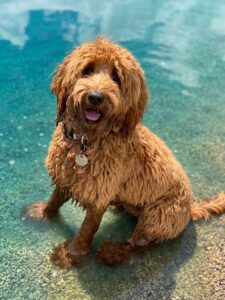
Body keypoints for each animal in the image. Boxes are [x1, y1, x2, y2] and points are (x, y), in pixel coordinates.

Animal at [26, 36, 225, 268]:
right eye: (87, 70)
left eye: (116, 77)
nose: (95, 97)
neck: (85, 141)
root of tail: (190, 209)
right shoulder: (66, 177)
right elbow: (55, 200)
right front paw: (43, 213)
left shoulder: (99, 196)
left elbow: (86, 231)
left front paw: (72, 254)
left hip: (158, 216)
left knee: (138, 244)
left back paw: (112, 252)